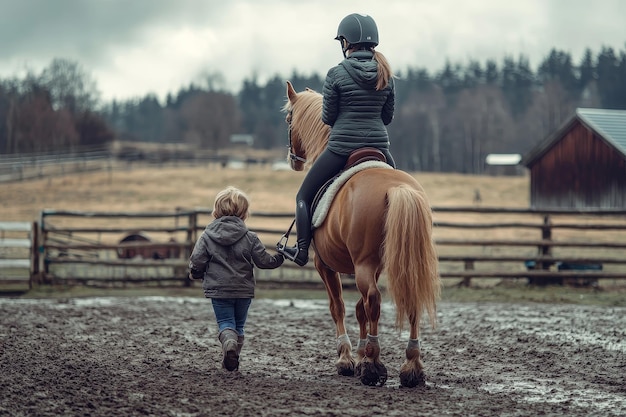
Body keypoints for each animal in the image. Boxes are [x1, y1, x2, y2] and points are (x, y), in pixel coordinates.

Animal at [282, 81, 438, 386]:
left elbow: (340, 307)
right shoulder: (371, 267)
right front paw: (360, 353)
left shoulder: (325, 264)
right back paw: (411, 366)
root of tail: (398, 188)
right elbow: (359, 308)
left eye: (288, 119)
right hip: (400, 261)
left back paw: (374, 365)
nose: (293, 161)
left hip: (361, 264)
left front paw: (347, 359)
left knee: (374, 300)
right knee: (406, 296)